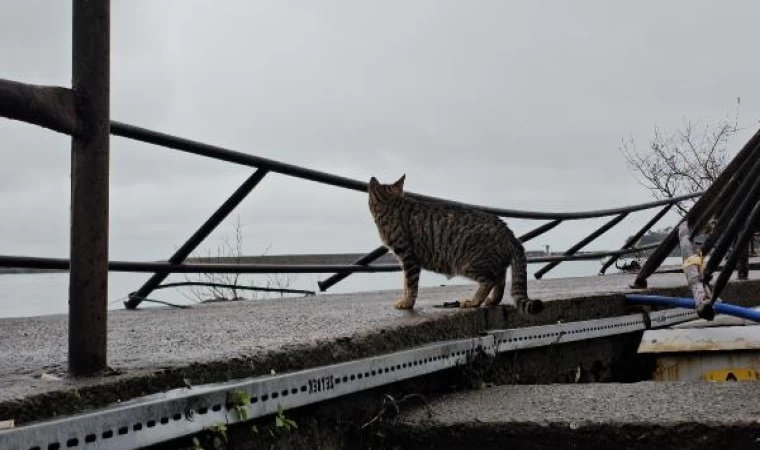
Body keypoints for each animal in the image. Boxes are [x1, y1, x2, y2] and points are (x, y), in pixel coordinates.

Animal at [366, 174, 540, 314]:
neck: (392, 204)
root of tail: (510, 235)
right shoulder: (406, 260)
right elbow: (405, 284)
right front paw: (405, 300)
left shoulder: (408, 257)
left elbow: (410, 284)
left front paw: (407, 303)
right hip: (492, 262)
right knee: (500, 280)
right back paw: (492, 300)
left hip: (469, 264)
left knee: (489, 280)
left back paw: (474, 302)